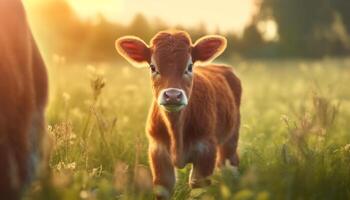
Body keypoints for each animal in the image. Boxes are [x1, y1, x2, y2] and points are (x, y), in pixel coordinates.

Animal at [116, 30, 242, 199]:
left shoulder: (207, 149)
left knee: (229, 162)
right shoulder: (157, 151)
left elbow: (198, 188)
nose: (173, 95)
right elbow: (163, 185)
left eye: (189, 66)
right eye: (153, 67)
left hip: (232, 135)